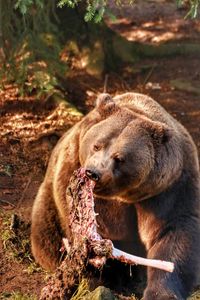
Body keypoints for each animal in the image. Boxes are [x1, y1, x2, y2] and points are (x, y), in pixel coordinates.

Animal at [31, 92, 200, 298]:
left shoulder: (169, 188)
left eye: (119, 158)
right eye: (97, 145)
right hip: (47, 212)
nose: (93, 172)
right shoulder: (73, 167)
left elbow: (172, 233)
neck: (126, 195)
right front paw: (104, 275)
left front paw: (160, 292)